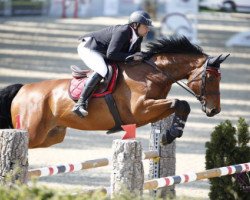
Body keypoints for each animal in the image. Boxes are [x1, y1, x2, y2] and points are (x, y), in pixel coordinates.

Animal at [0, 36, 229, 148]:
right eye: (211, 78)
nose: (215, 110)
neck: (152, 73)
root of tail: (23, 89)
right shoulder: (141, 110)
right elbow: (181, 103)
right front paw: (169, 135)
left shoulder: (150, 111)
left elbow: (180, 106)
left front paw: (170, 134)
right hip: (32, 131)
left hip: (50, 136)